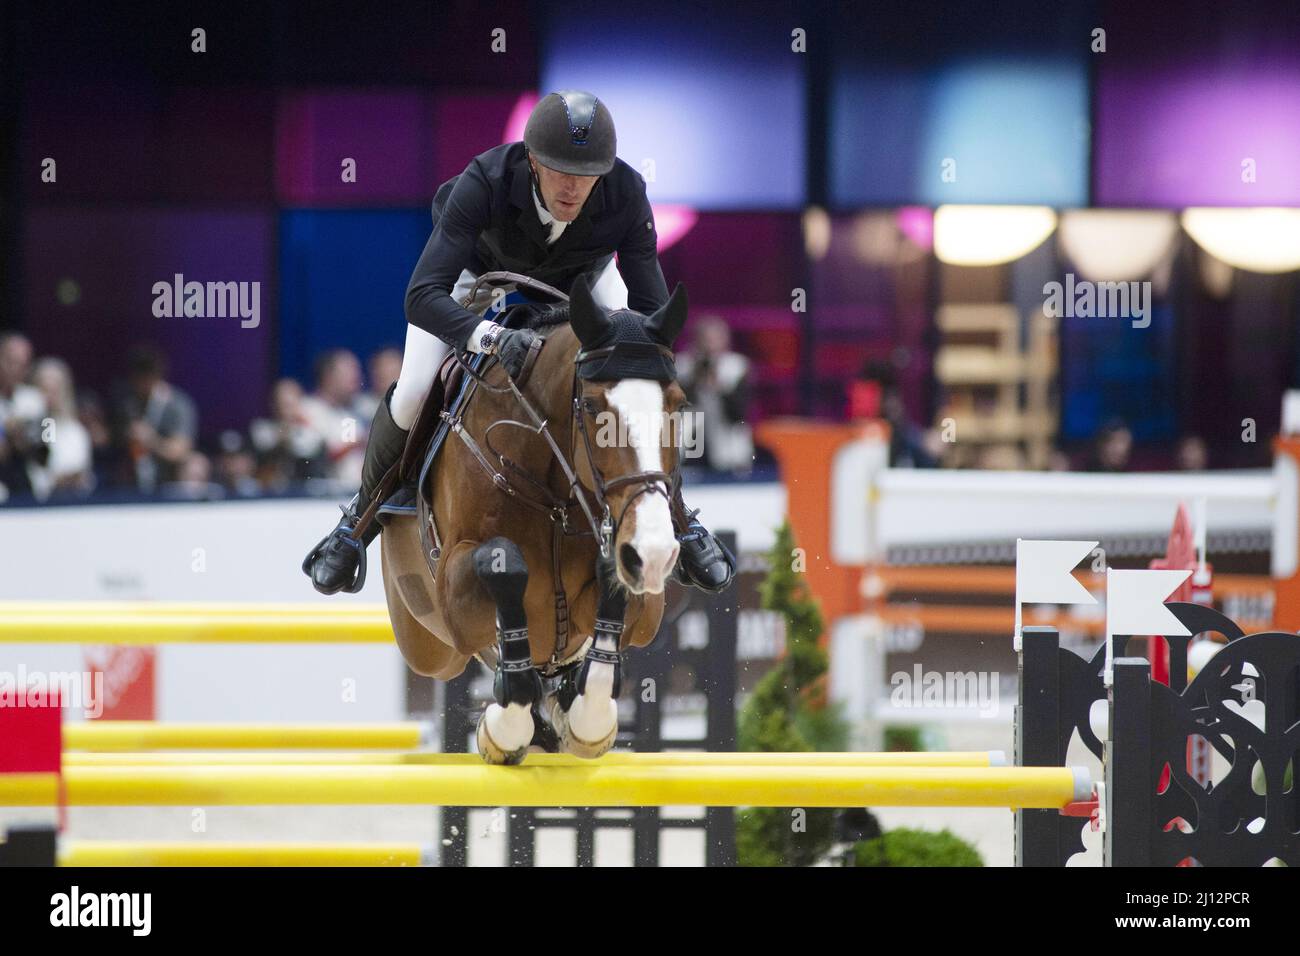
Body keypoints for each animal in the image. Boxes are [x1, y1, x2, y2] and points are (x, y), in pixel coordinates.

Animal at [377, 269, 691, 764]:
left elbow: (611, 597)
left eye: (678, 406)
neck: (554, 498)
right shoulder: (455, 598)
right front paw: (504, 726)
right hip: (426, 643)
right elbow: (503, 562)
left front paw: (587, 721)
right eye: (592, 407)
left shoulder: (644, 606)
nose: (654, 551)